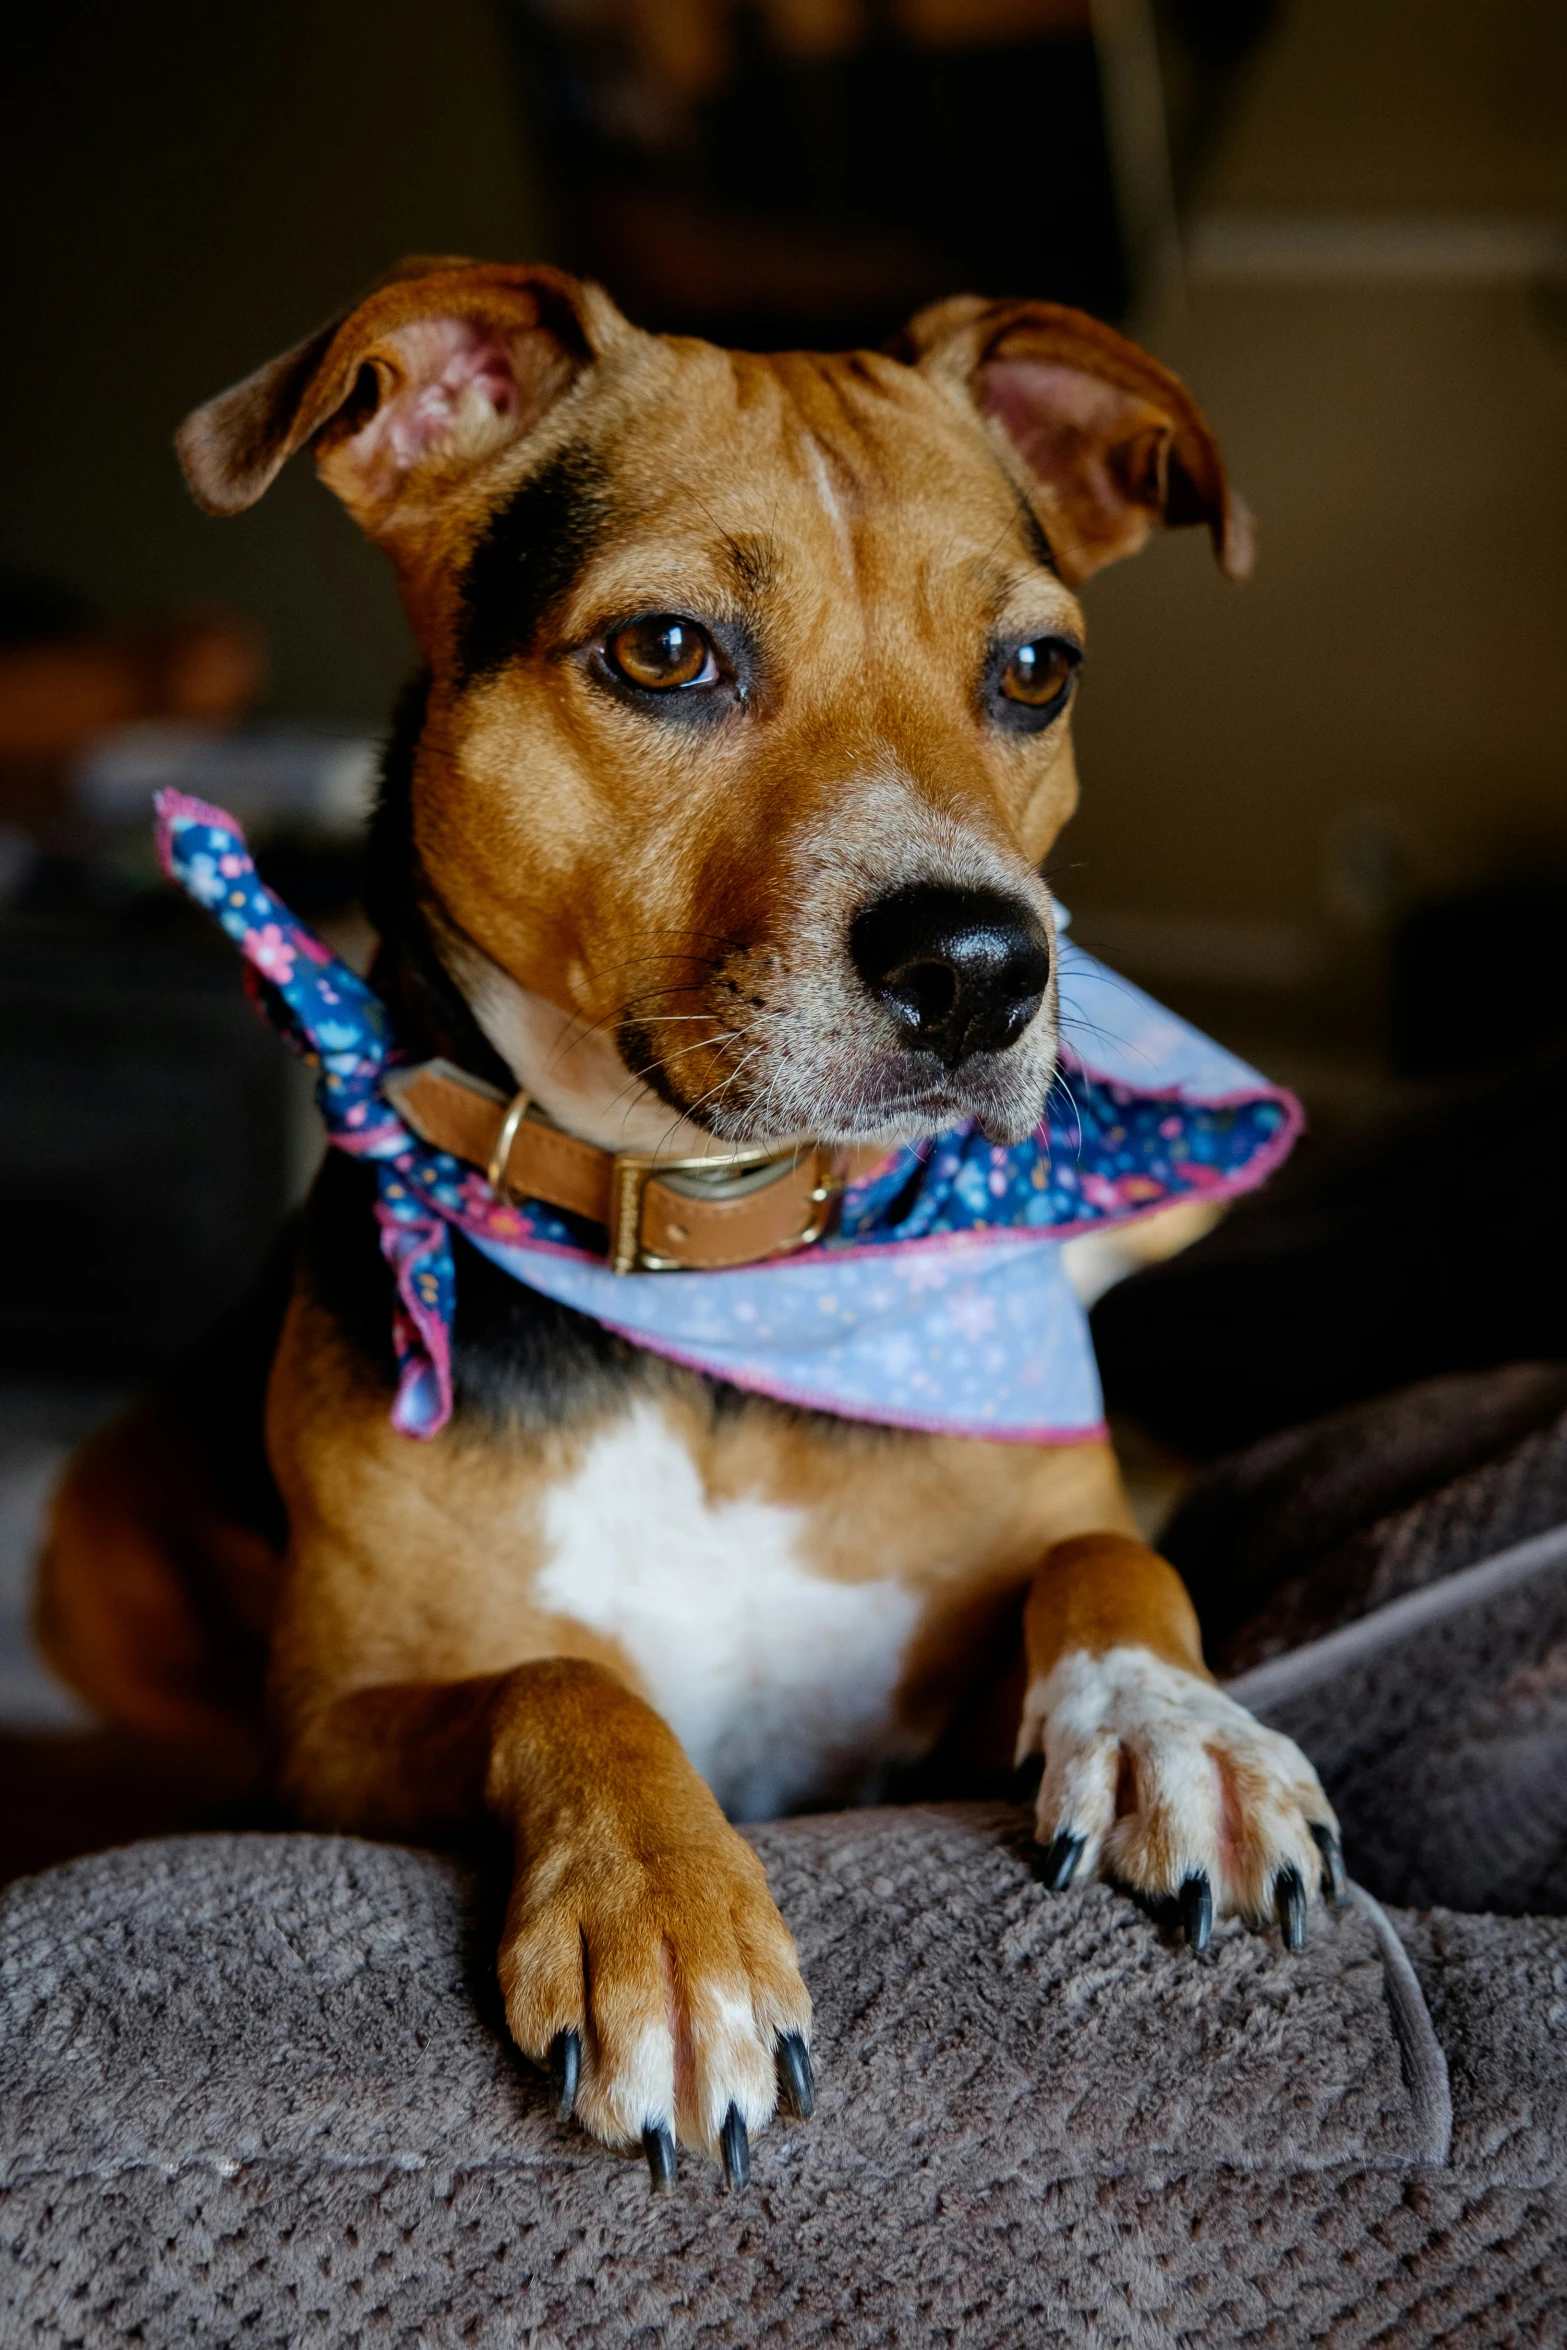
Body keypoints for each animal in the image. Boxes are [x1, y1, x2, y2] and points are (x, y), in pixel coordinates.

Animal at [42, 262, 1343, 2199]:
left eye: (1034, 671)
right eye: (664, 652)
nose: (982, 965)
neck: (720, 1261)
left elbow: (1112, 1557)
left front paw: (1175, 1729)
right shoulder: (327, 1735)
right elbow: (564, 1681)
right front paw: (664, 1924)